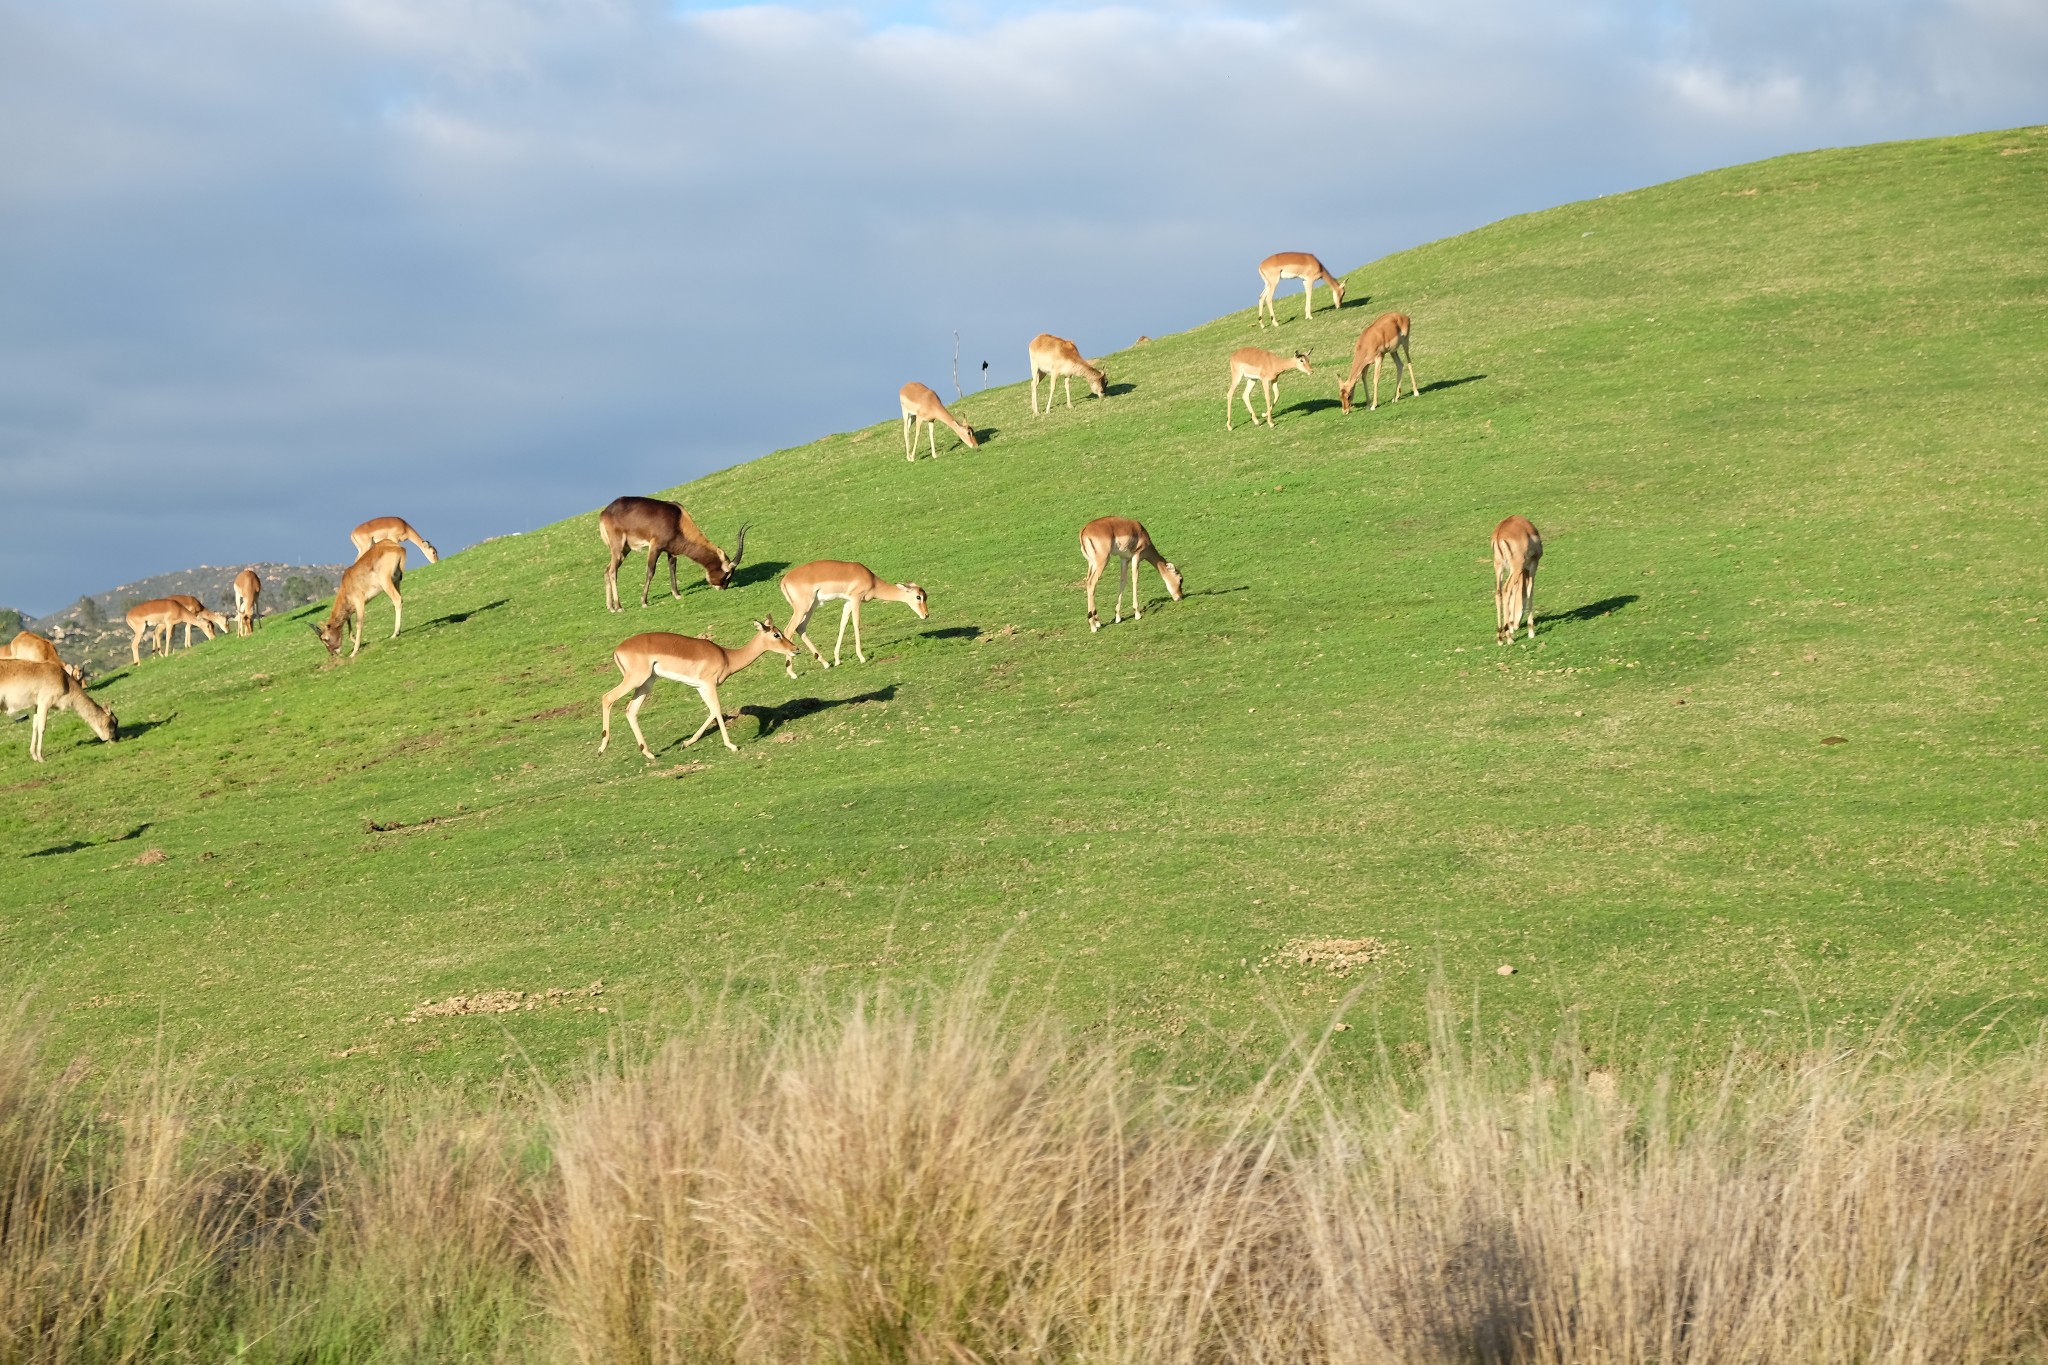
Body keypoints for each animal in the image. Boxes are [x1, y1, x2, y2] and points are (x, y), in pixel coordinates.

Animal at [598, 493, 749, 609]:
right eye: (727, 574)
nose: (723, 588)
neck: (678, 520)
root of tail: (604, 513)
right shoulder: (655, 547)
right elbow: (650, 571)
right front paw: (644, 602)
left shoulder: (670, 551)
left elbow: (672, 569)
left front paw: (677, 594)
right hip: (618, 547)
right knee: (612, 571)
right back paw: (619, 607)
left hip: (624, 549)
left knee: (607, 569)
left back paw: (610, 607)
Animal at [598, 626, 794, 765]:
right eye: (776, 634)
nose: (795, 648)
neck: (727, 657)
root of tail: (617, 650)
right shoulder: (710, 684)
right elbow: (717, 709)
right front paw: (732, 746)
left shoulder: (701, 687)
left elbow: (712, 711)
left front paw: (686, 743)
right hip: (635, 680)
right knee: (607, 698)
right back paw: (602, 748)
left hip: (646, 683)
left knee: (631, 710)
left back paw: (649, 753)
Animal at [774, 556, 929, 671]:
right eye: (918, 597)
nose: (926, 615)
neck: (872, 580)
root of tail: (784, 581)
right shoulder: (856, 599)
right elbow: (856, 623)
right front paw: (862, 657)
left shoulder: (847, 602)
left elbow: (843, 624)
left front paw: (837, 660)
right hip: (803, 608)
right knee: (789, 629)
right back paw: (792, 673)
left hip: (811, 607)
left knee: (800, 628)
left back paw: (826, 663)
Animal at [1490, 517, 1540, 646]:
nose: (1516, 624)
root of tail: (1499, 535)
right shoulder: (1533, 565)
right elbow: (1530, 591)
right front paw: (1531, 631)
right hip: (1515, 568)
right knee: (1506, 590)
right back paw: (1509, 637)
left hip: (1499, 568)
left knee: (1498, 593)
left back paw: (1500, 637)